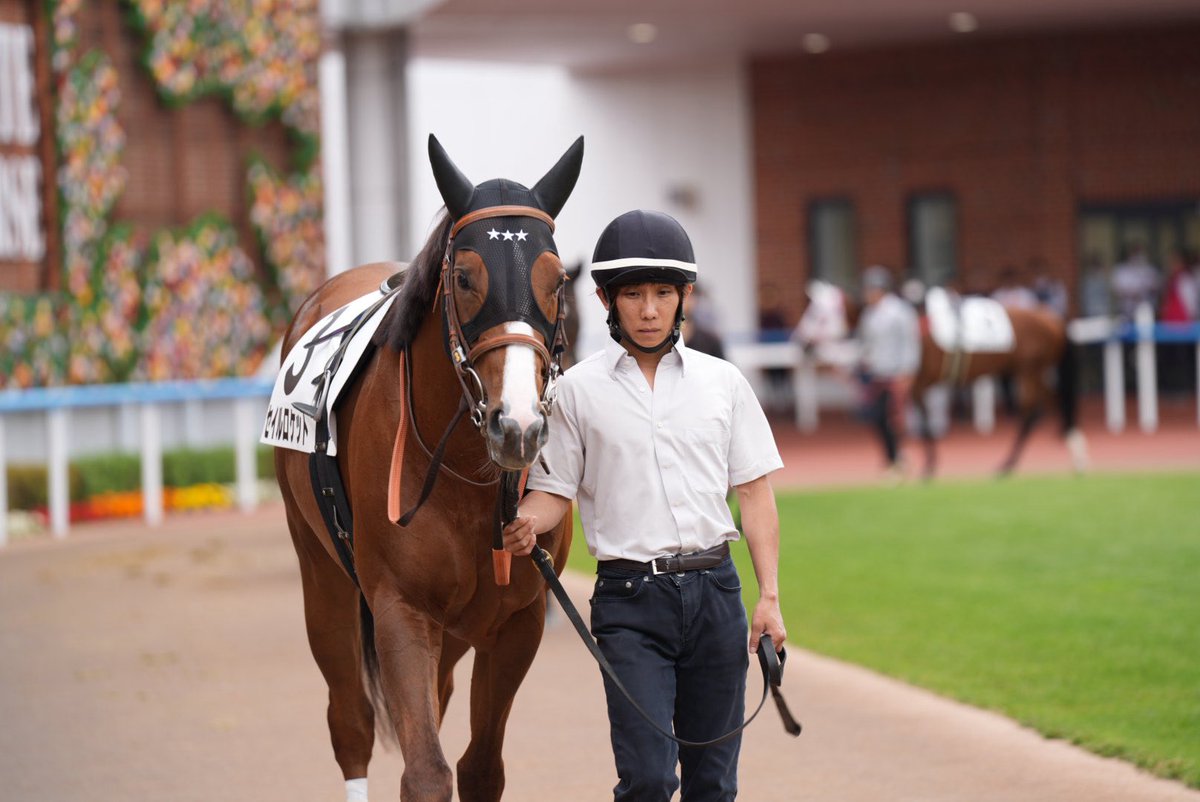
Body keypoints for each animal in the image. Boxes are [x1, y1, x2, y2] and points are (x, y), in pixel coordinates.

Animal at [272, 135, 582, 801]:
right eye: (465, 276)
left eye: (558, 280)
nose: (518, 426)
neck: (467, 479)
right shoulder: (401, 609)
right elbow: (426, 773)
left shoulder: (518, 621)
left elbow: (480, 767)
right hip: (323, 576)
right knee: (351, 723)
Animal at [795, 280, 1088, 477]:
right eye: (810, 311)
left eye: (819, 316)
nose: (803, 345)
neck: (914, 325)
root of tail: (1052, 318)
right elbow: (888, 417)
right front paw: (902, 462)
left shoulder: (916, 384)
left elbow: (920, 423)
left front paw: (924, 467)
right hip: (1032, 372)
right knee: (1054, 406)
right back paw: (1074, 457)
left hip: (1029, 371)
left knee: (1032, 413)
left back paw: (1007, 464)